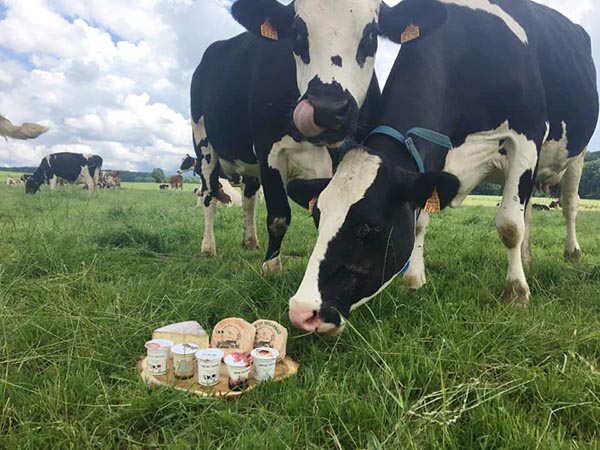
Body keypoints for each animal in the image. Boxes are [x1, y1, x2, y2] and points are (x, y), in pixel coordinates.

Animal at [193, 0, 390, 270]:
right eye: (297, 33)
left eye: (372, 34)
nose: (327, 109)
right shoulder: (268, 151)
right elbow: (278, 216)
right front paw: (271, 268)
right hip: (203, 143)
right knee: (209, 195)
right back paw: (207, 247)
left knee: (249, 197)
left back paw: (250, 241)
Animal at [286, 0, 596, 334]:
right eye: (318, 217)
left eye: (370, 225)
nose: (302, 312)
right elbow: (421, 221)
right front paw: (413, 280)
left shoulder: (527, 138)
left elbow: (510, 225)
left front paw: (516, 292)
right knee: (527, 210)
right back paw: (526, 260)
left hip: (576, 155)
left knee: (568, 204)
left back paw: (571, 252)